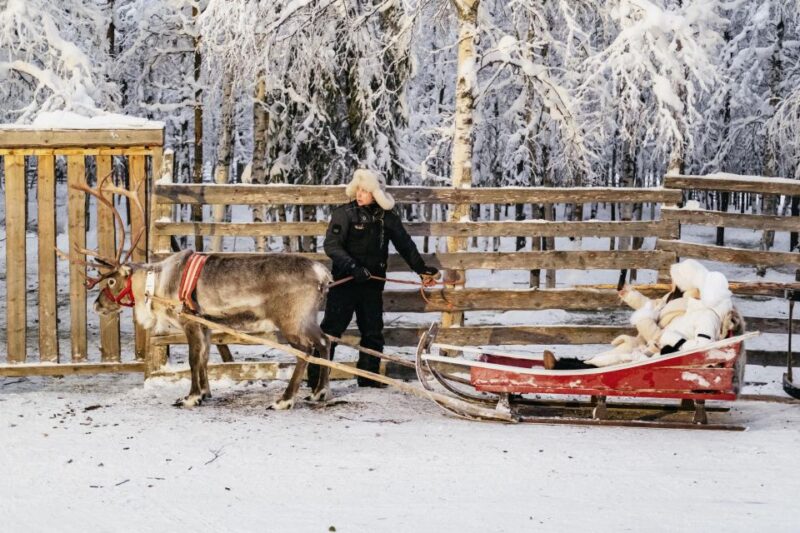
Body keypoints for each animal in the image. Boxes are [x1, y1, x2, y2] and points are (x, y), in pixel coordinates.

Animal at [60, 175, 332, 410]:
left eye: (111, 281)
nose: (97, 305)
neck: (156, 285)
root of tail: (322, 274)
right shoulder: (206, 324)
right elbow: (204, 357)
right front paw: (205, 392)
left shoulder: (190, 321)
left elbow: (193, 358)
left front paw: (190, 397)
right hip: (307, 318)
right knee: (325, 341)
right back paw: (319, 392)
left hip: (290, 320)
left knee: (305, 351)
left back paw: (284, 400)